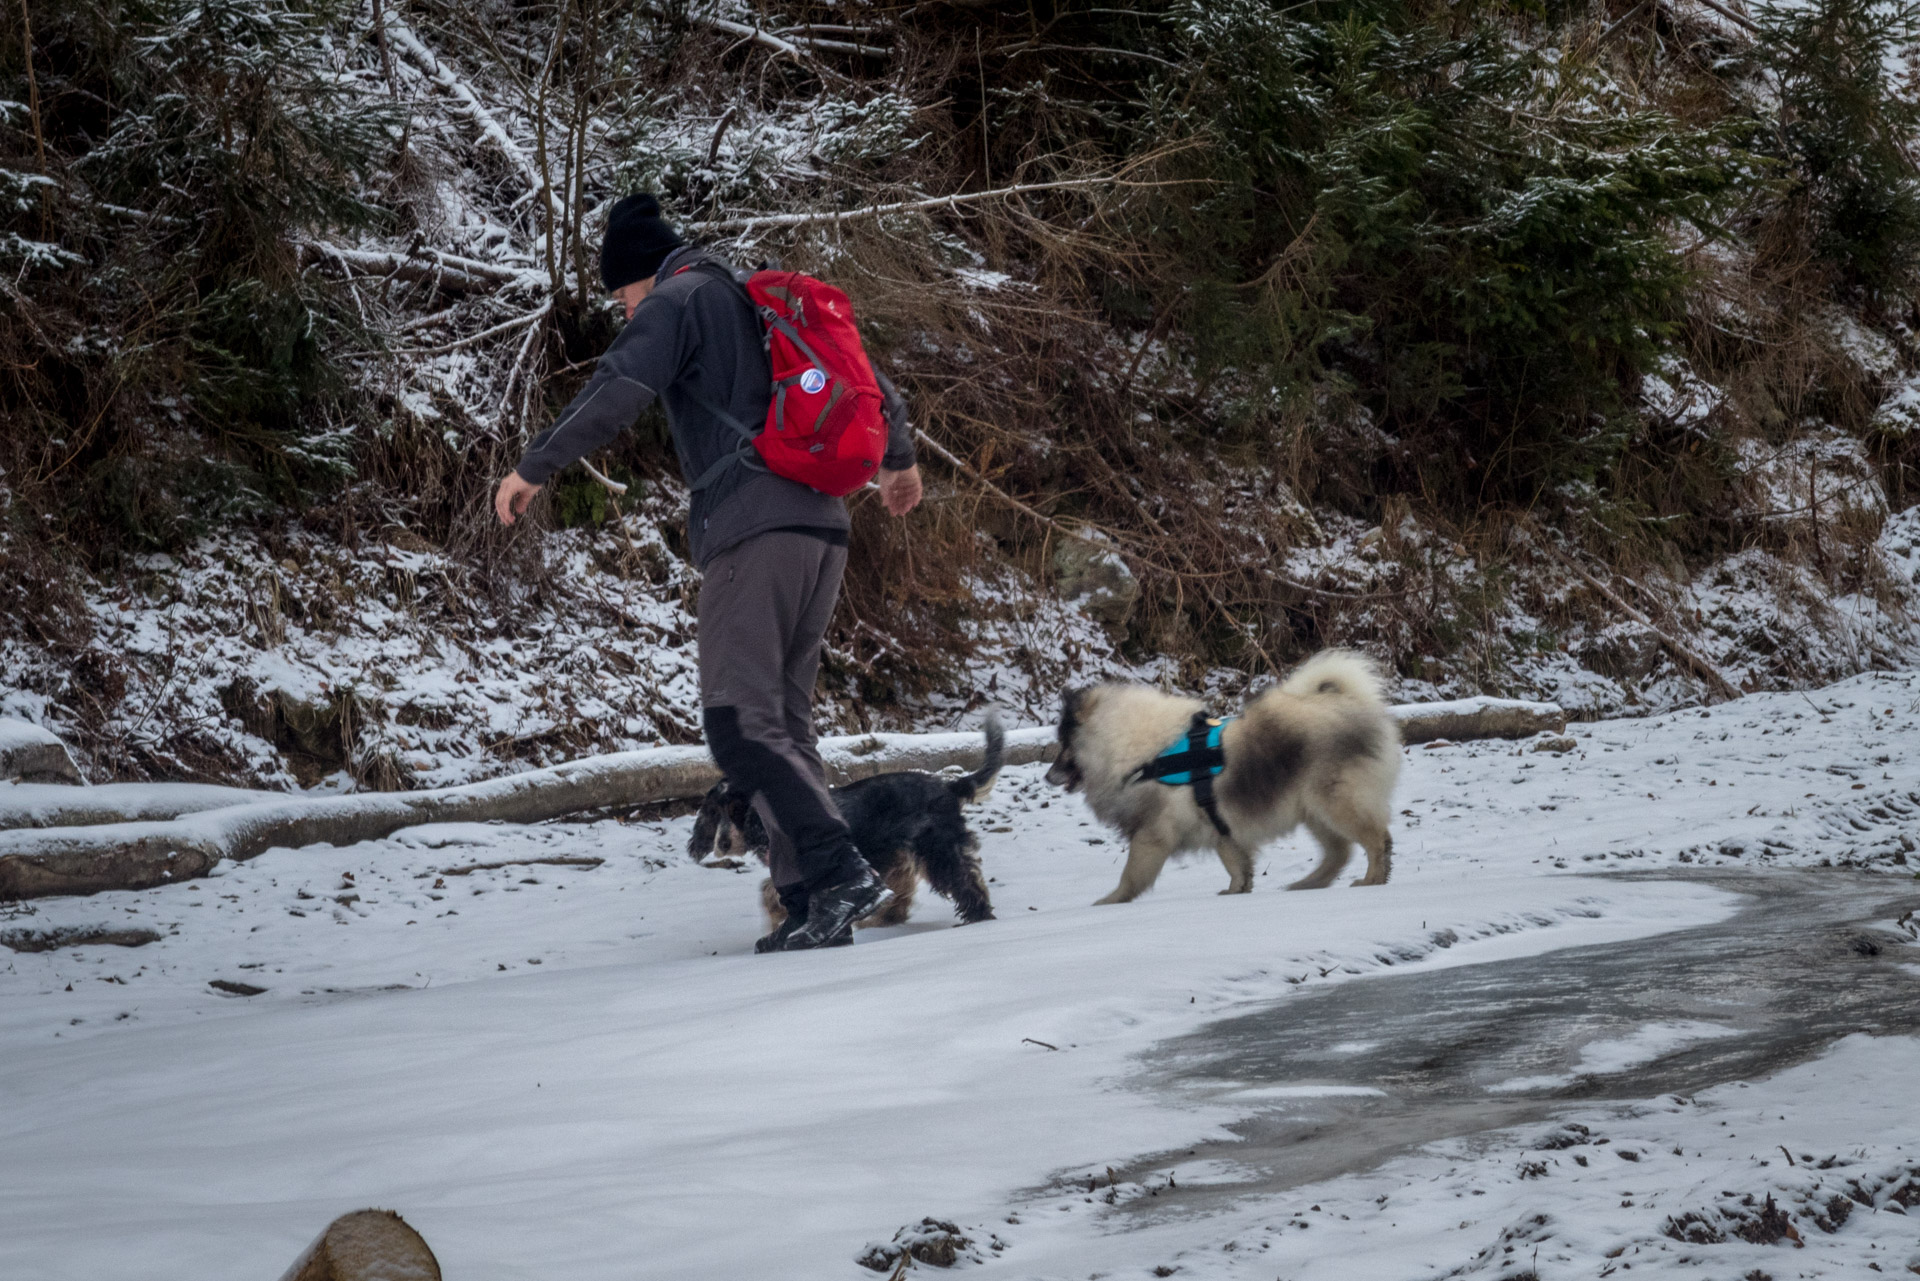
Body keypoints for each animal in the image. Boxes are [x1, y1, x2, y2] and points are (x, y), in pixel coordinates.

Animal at [1044, 656, 1405, 906]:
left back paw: (1372, 879)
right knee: (1339, 852)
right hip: (1314, 810)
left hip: (1333, 803)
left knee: (1376, 840)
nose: (1047, 776)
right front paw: (1237, 891)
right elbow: (1236, 864)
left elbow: (1131, 873)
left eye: (1064, 744)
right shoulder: (1220, 826)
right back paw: (1308, 883)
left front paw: (1112, 900)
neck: (1140, 751)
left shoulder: (1153, 833)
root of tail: (1354, 704)